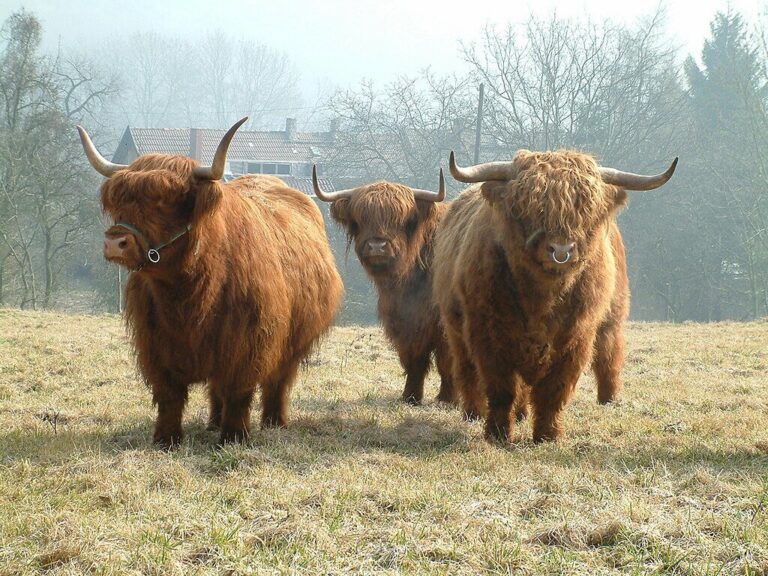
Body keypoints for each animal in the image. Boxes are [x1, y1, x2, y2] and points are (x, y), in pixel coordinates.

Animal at [77, 119, 342, 448]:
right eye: (120, 200)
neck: (186, 296)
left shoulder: (247, 343)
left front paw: (234, 437)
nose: (115, 242)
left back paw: (273, 422)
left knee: (277, 381)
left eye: (165, 201)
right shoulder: (155, 346)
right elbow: (170, 395)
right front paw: (166, 439)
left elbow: (239, 392)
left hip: (293, 343)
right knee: (217, 389)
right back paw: (214, 421)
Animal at [312, 166, 456, 404]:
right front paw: (410, 397)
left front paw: (447, 399)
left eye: (399, 218)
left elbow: (447, 360)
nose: (377, 246)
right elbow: (413, 358)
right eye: (362, 217)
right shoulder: (404, 320)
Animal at [436, 148, 676, 440]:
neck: (543, 297)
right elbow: (501, 388)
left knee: (606, 357)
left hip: (611, 318)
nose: (561, 250)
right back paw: (474, 413)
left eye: (584, 209)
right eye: (530, 206)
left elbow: (554, 390)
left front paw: (548, 435)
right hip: (456, 328)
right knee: (467, 371)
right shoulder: (488, 334)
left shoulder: (576, 338)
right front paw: (498, 433)